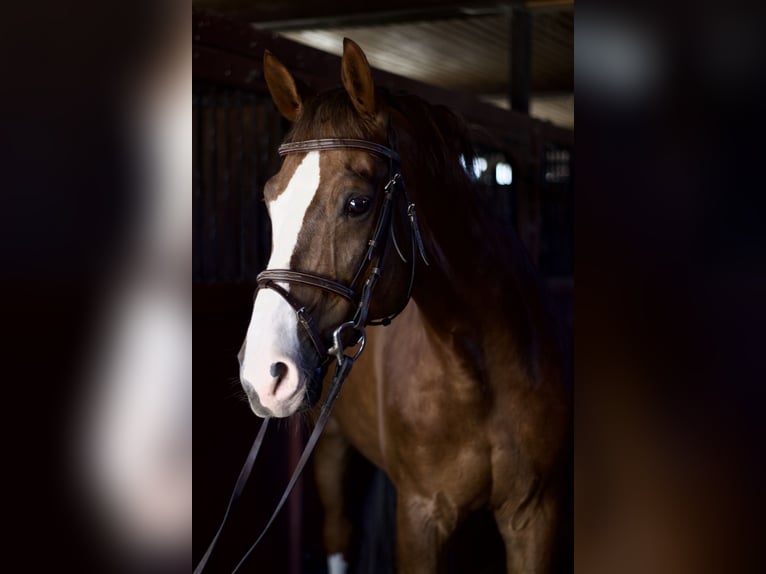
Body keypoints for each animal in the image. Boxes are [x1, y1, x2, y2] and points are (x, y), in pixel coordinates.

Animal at [238, 38, 571, 574]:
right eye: (271, 201)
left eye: (357, 203)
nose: (264, 373)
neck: (479, 371)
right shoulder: (421, 518)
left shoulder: (535, 515)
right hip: (329, 446)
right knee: (338, 533)